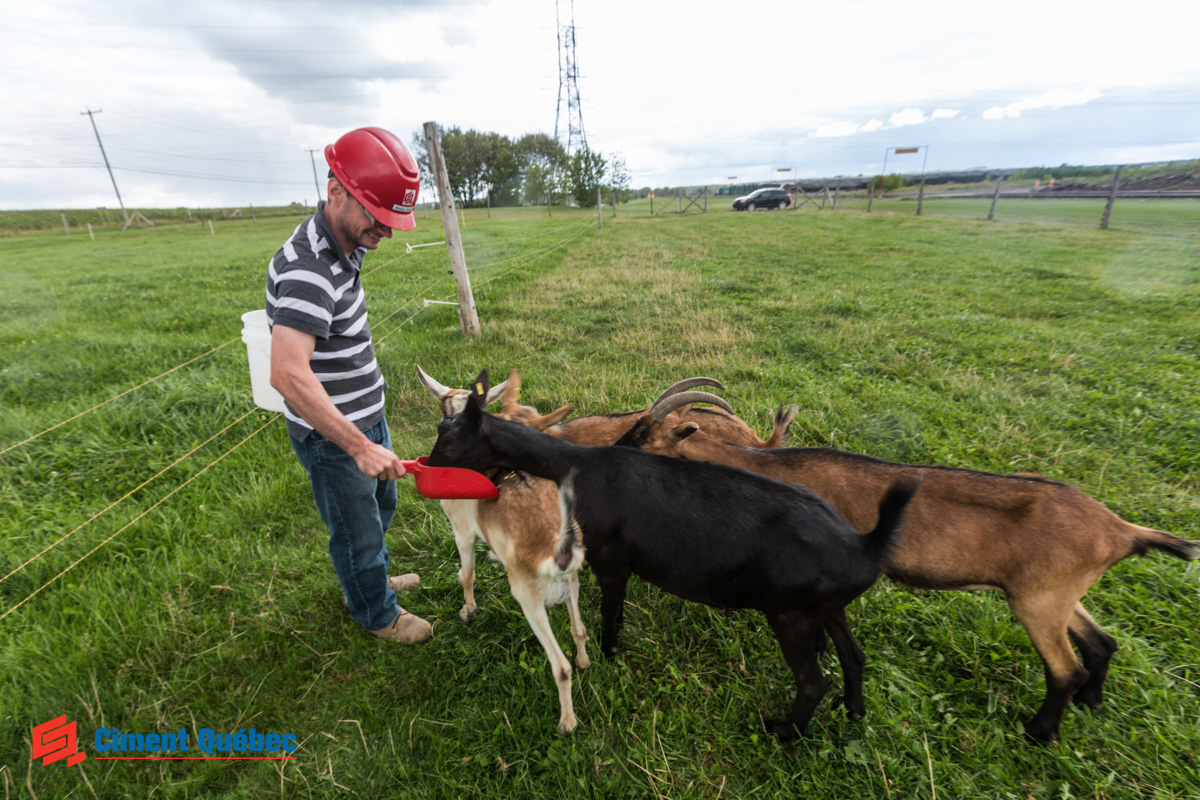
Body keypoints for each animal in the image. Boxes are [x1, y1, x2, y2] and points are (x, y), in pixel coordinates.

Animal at [432, 371, 916, 743]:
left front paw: (608, 655)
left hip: (791, 617)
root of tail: (865, 544)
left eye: (451, 444)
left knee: (813, 683)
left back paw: (782, 731)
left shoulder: (611, 562)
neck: (582, 467)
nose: (429, 469)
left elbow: (610, 611)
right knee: (854, 657)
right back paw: (853, 712)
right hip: (829, 609)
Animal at [619, 393, 1200, 743]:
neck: (774, 466)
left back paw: (1039, 731)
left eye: (643, 433)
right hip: (1058, 595)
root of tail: (1120, 530)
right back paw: (1092, 704)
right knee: (1102, 642)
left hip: (1038, 602)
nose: (616, 450)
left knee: (1065, 667)